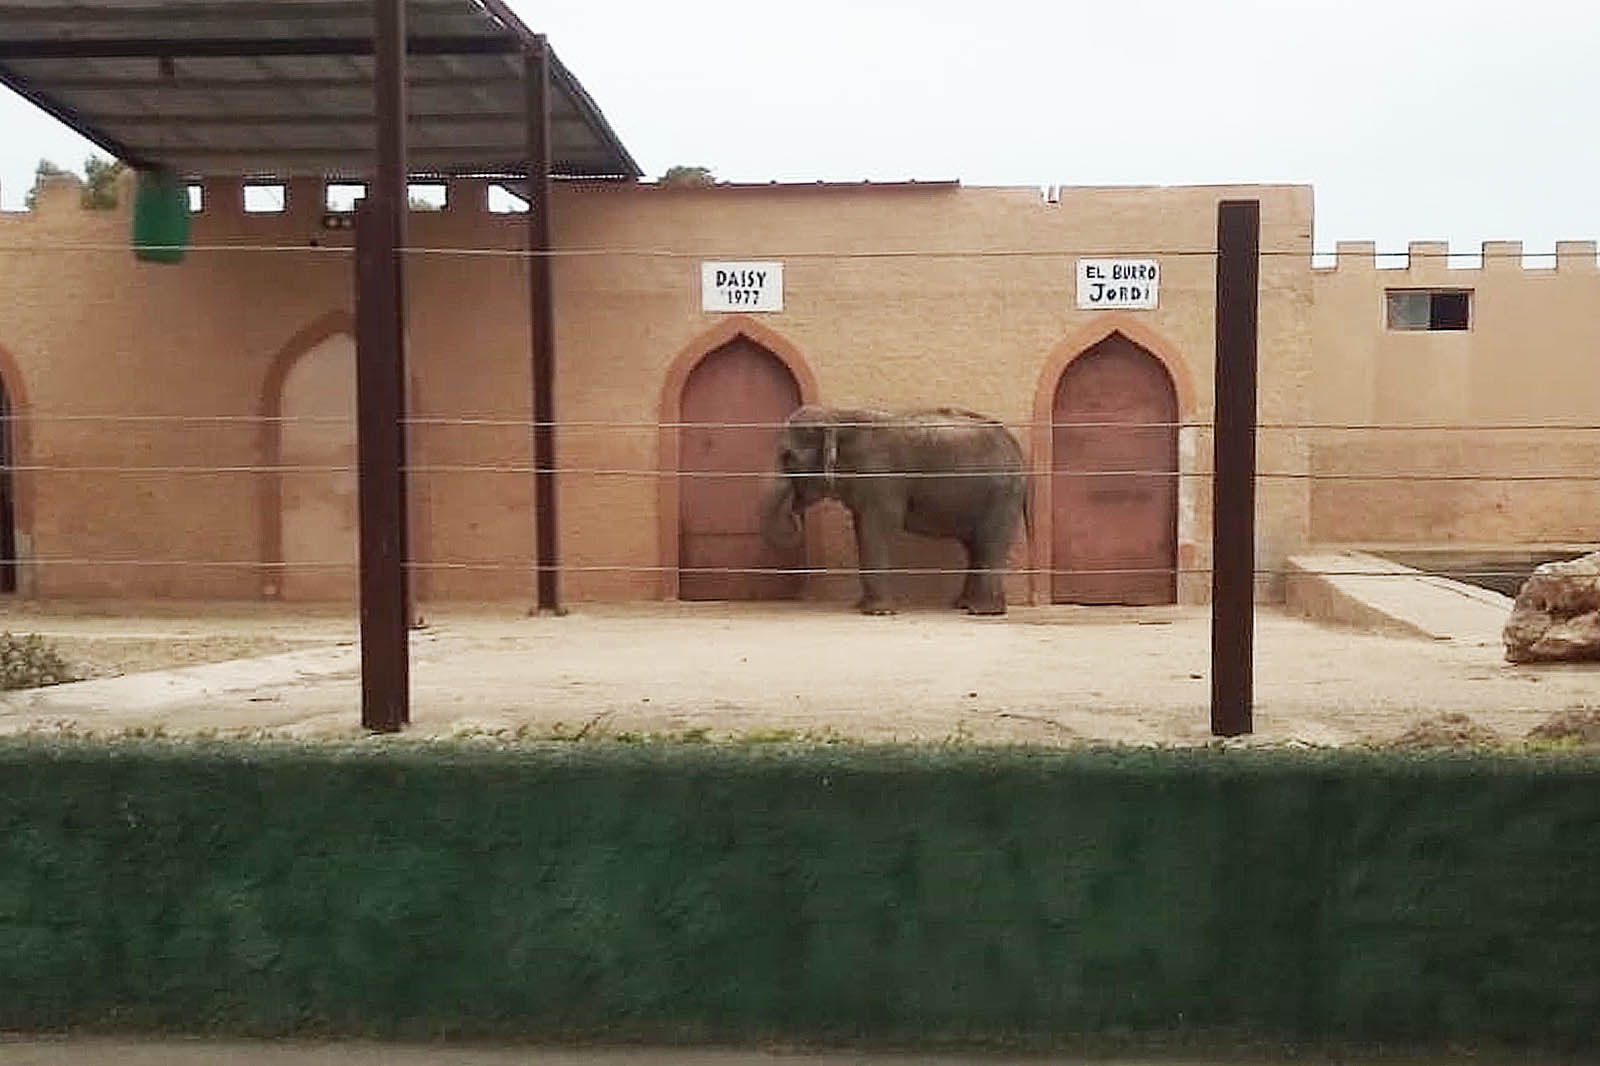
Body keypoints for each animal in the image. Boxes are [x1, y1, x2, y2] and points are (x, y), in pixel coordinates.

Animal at [758, 400, 1024, 614]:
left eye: (788, 457)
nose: (795, 514)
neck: (837, 414)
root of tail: (1016, 447)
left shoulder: (882, 477)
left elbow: (878, 527)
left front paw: (877, 613)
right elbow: (862, 527)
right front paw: (862, 607)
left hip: (1001, 493)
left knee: (989, 542)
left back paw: (982, 611)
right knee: (975, 546)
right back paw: (964, 606)